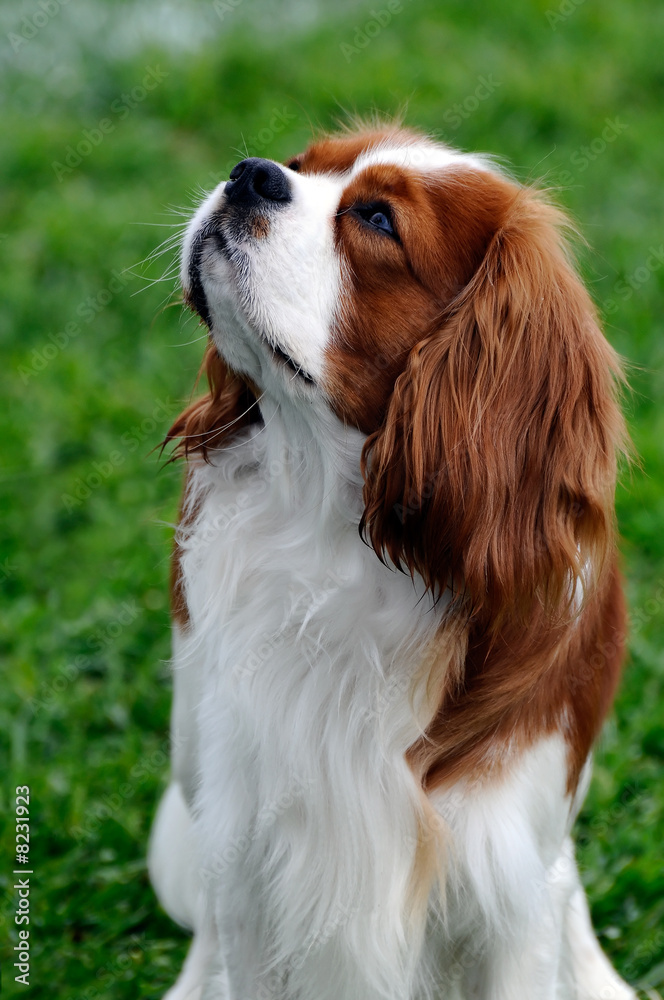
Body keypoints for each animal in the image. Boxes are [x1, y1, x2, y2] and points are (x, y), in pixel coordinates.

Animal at [148, 121, 636, 996]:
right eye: (302, 166)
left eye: (377, 219)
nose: (251, 173)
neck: (337, 537)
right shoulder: (245, 859)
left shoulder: (510, 881)